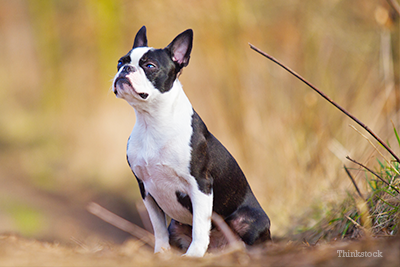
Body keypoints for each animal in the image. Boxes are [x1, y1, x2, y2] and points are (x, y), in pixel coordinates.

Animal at [111, 25, 270, 258]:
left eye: (150, 66)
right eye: (120, 62)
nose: (125, 69)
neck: (152, 121)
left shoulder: (200, 184)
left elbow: (200, 225)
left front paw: (194, 255)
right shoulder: (145, 189)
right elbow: (158, 227)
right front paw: (161, 254)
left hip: (249, 219)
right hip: (176, 225)